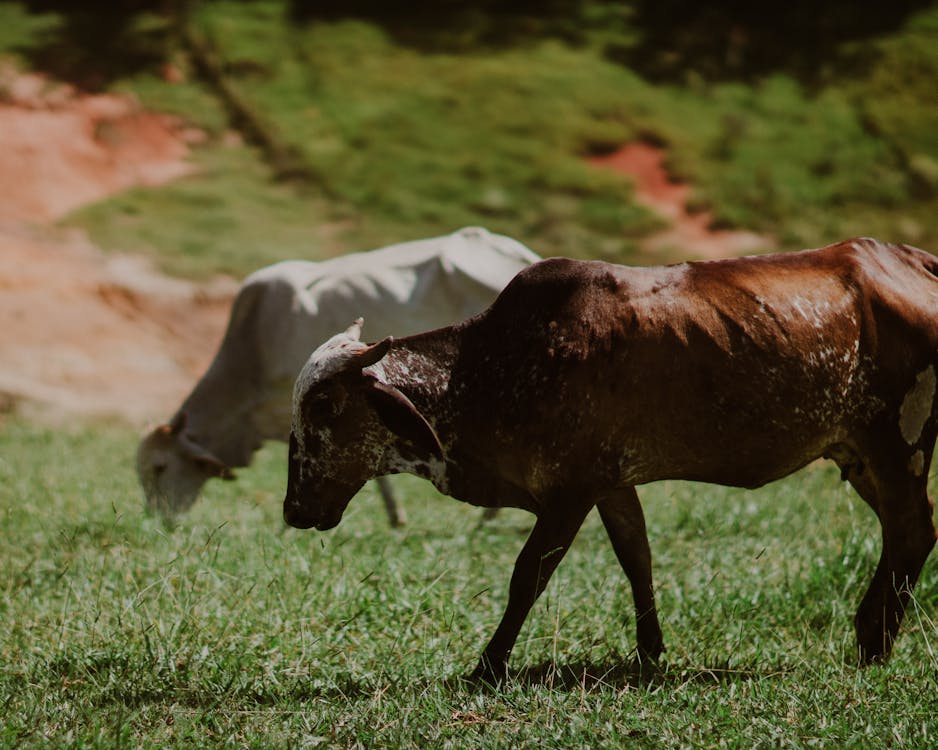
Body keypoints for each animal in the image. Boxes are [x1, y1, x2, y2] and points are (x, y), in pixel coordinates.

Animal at [282, 241, 932, 680]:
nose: (292, 509)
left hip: (899, 442)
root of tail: (912, 260)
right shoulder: (612, 484)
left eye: (324, 404)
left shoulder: (569, 491)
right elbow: (636, 559)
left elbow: (529, 574)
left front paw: (488, 666)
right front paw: (650, 652)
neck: (487, 368)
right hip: (859, 456)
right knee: (900, 533)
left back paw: (874, 645)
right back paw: (868, 634)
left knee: (913, 531)